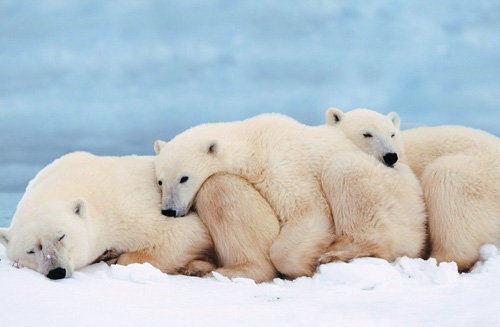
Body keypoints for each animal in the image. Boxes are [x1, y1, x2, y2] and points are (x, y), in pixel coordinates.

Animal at [153, 114, 426, 280]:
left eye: (184, 178)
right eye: (160, 181)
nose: (169, 210)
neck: (252, 143)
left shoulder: (281, 165)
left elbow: (308, 210)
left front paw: (304, 266)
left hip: (392, 194)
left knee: (343, 170)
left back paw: (338, 252)